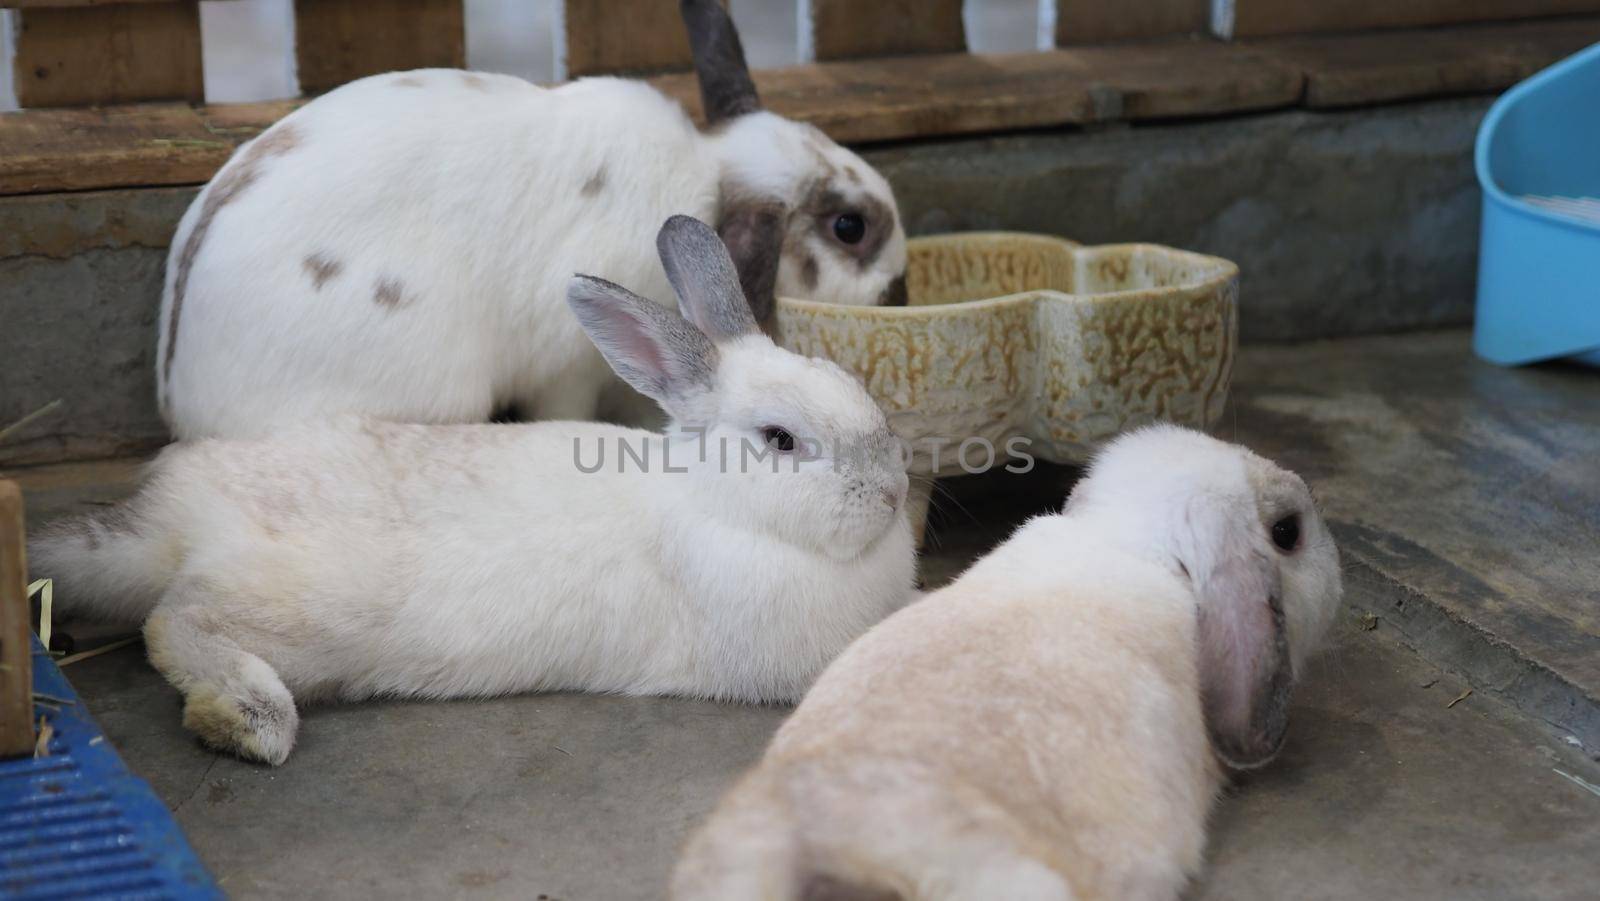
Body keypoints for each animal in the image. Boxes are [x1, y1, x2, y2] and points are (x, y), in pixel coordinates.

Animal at [31, 214, 915, 764]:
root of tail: (167, 518)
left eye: (854, 383)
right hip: (301, 617)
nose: (891, 493)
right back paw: (250, 718)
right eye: (780, 440)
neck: (713, 502)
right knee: (172, 622)